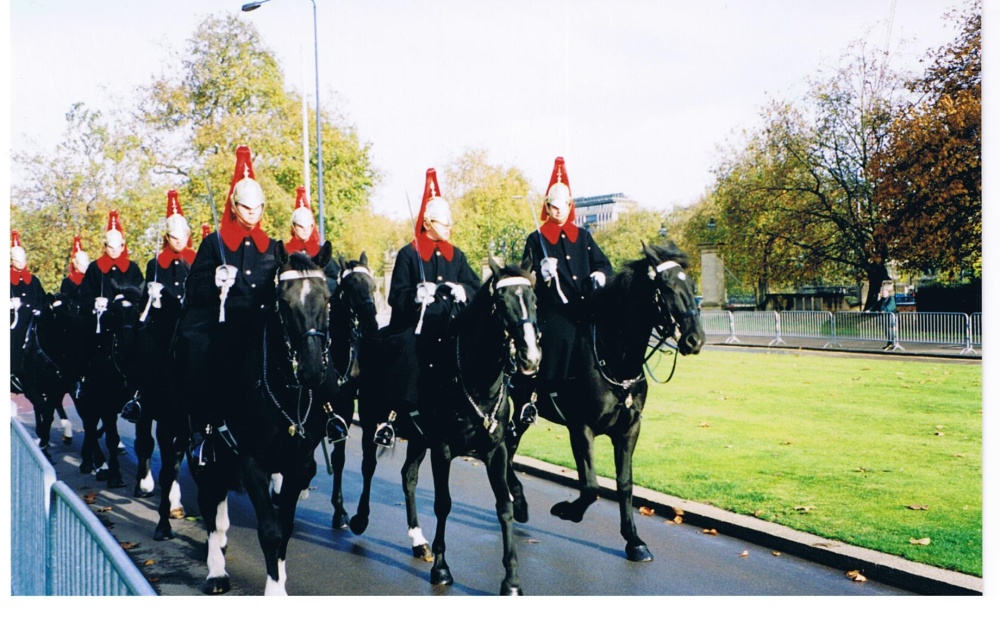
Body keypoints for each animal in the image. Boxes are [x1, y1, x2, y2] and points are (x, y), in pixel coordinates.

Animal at [188, 243, 340, 596]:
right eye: (283, 302)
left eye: (327, 298)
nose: (312, 370)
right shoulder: (252, 462)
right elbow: (270, 530)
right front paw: (274, 590)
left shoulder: (298, 464)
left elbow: (285, 526)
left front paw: (279, 577)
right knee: (208, 501)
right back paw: (216, 571)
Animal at [358, 255, 544, 592]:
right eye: (501, 302)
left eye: (534, 300)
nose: (531, 358)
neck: (475, 380)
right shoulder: (442, 449)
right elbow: (443, 503)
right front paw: (442, 569)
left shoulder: (495, 451)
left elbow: (505, 506)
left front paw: (511, 580)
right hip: (370, 420)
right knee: (368, 467)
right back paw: (358, 518)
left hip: (418, 439)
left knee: (408, 477)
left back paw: (418, 541)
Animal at [508, 241, 704, 564]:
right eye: (666, 287)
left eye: (691, 285)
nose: (695, 339)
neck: (615, 357)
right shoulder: (581, 428)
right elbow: (590, 486)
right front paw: (567, 511)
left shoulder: (629, 430)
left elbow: (624, 484)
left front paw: (634, 541)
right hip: (520, 404)